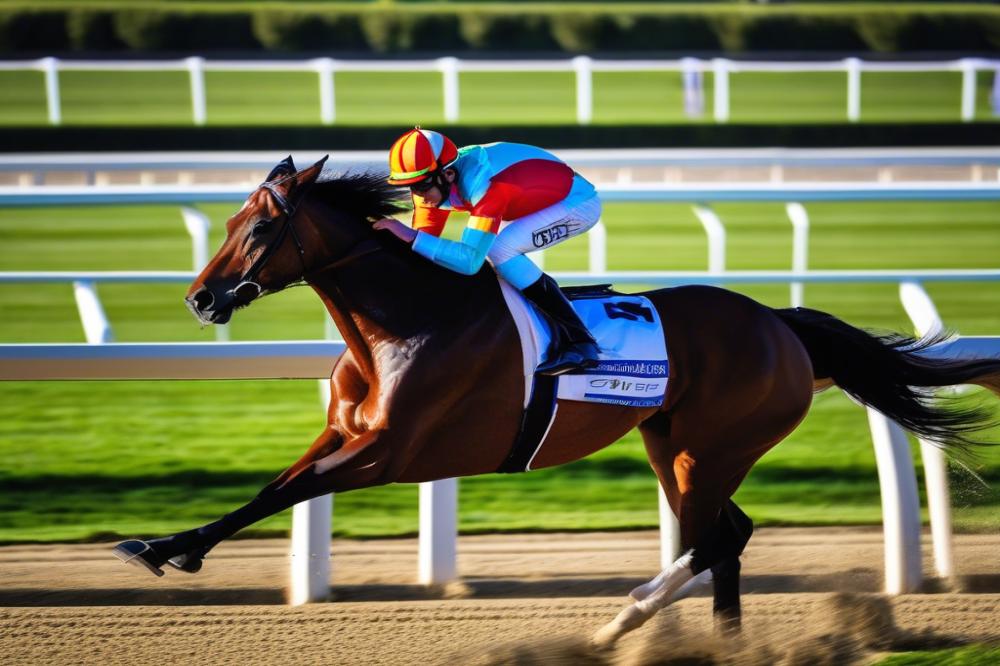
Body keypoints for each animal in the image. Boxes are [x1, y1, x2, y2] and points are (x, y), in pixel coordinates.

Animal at [113, 156, 1000, 647]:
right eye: (231, 217)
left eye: (262, 230)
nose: (200, 298)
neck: (406, 320)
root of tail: (781, 324)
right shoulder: (346, 433)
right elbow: (271, 488)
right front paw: (163, 543)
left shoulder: (390, 454)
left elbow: (285, 494)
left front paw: (167, 551)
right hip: (674, 442)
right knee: (727, 537)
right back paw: (716, 641)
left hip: (710, 445)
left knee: (715, 538)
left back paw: (623, 622)